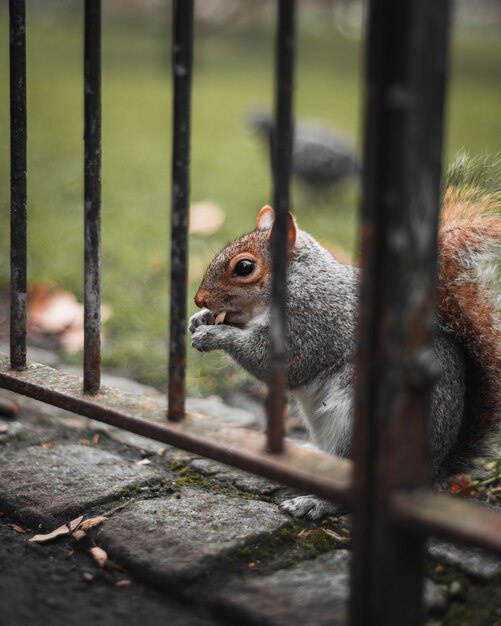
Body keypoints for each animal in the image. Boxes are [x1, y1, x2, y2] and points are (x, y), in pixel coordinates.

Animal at [188, 155, 500, 516]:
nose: (199, 299)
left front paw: (214, 336)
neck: (298, 279)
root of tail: (431, 472)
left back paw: (313, 501)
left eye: (244, 267)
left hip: (356, 428)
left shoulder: (313, 321)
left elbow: (277, 362)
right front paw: (199, 321)